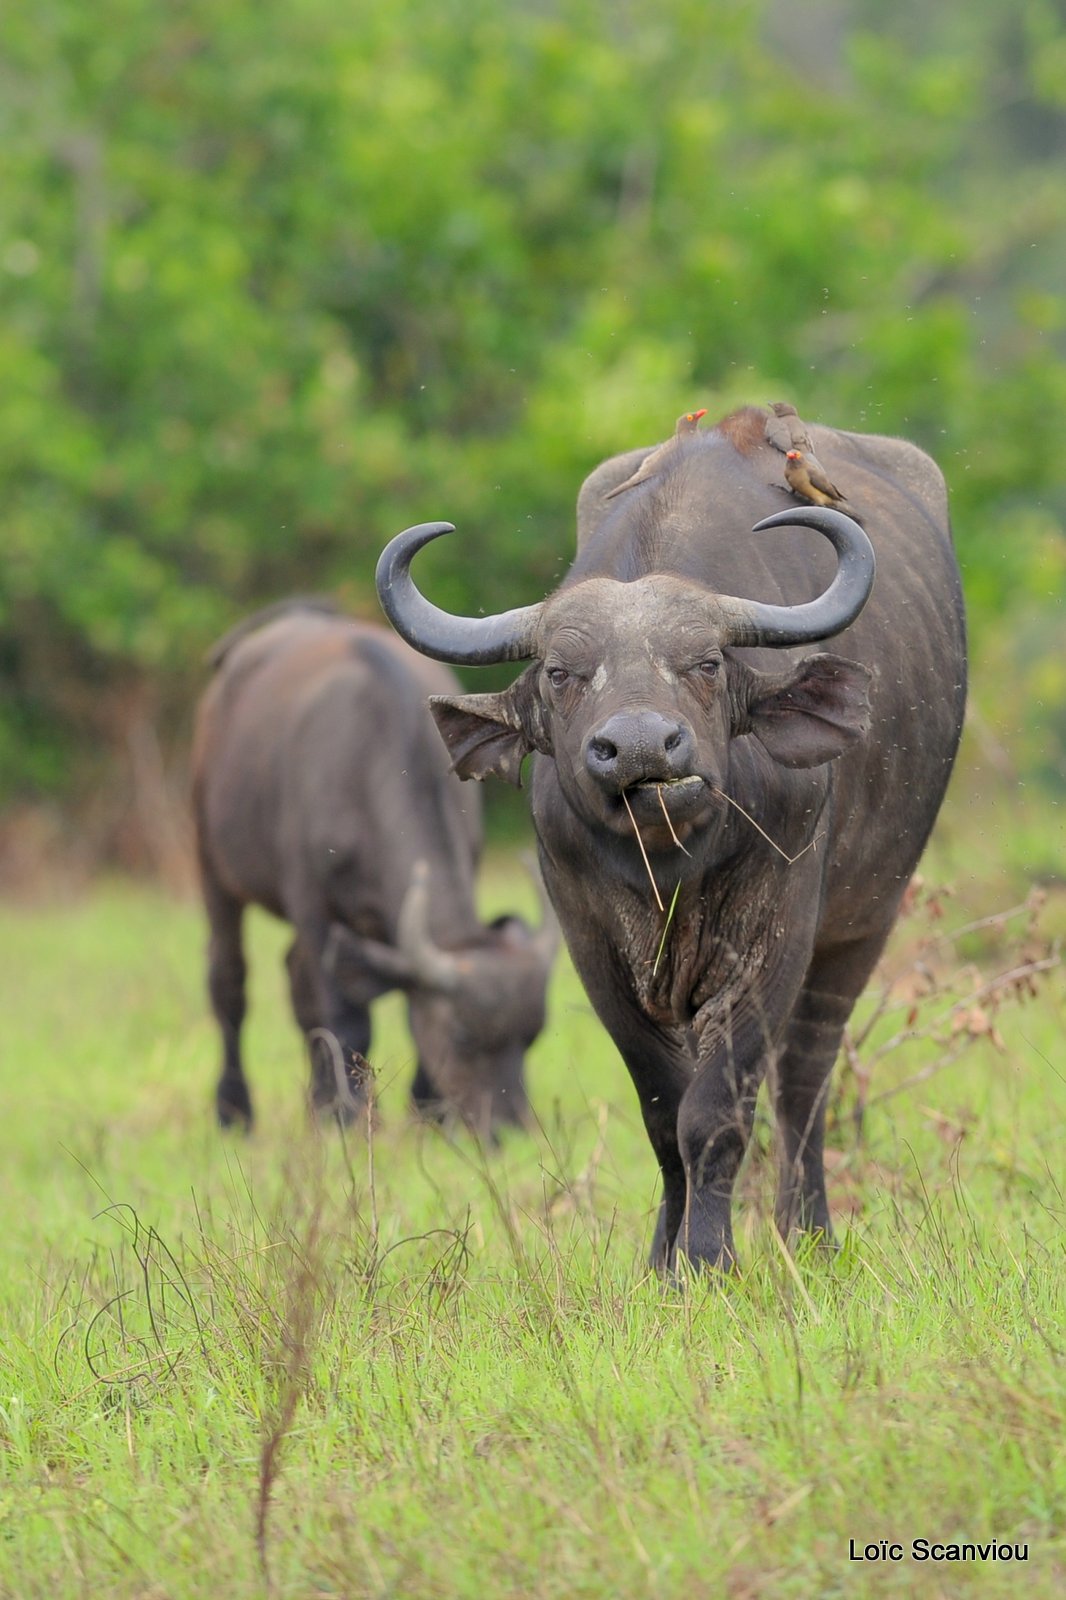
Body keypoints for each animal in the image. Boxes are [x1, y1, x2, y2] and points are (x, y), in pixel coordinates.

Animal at [191, 601, 557, 1139]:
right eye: (463, 1038)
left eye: (532, 1035)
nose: (508, 1129)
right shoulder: (314, 908)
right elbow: (346, 1014)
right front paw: (351, 1113)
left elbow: (402, 998)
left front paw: (426, 1109)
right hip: (213, 867)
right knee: (230, 981)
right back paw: (234, 1110)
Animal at [372, 406, 960, 1267]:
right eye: (560, 673)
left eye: (707, 663)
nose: (643, 747)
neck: (674, 866)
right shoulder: (593, 950)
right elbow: (662, 1109)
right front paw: (663, 1260)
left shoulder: (773, 939)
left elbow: (715, 1112)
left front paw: (711, 1258)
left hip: (865, 920)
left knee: (806, 1077)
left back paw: (807, 1232)